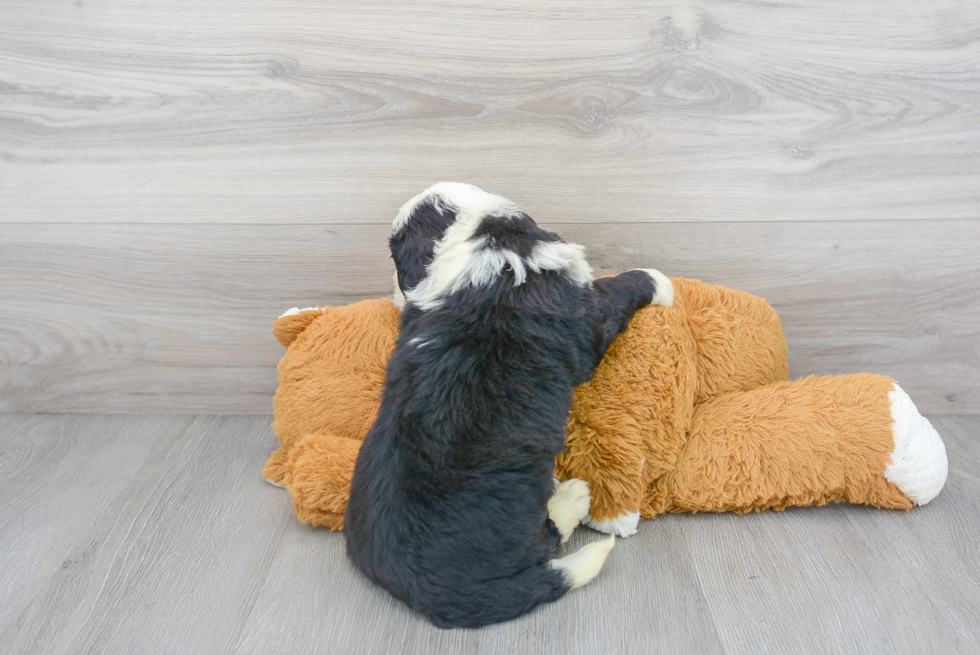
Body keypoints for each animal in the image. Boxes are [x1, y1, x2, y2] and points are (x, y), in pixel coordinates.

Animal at [344, 182, 672, 628]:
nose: (396, 296)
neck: (479, 235)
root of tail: (425, 588)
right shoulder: (586, 316)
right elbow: (616, 290)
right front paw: (660, 281)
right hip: (521, 513)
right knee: (547, 542)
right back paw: (573, 497)